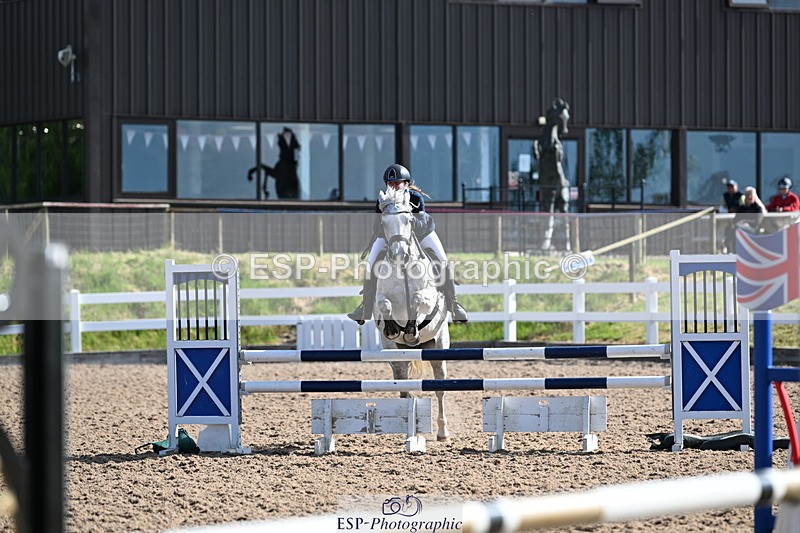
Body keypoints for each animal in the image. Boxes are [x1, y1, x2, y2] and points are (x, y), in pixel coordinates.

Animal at [372, 187, 450, 441]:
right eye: (384, 222)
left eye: (409, 220)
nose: (399, 255)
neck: (404, 270)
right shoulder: (381, 299)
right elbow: (385, 305)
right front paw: (394, 328)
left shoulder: (428, 297)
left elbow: (418, 300)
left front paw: (410, 330)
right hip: (395, 355)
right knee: (403, 388)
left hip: (438, 346)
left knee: (440, 386)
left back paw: (442, 431)